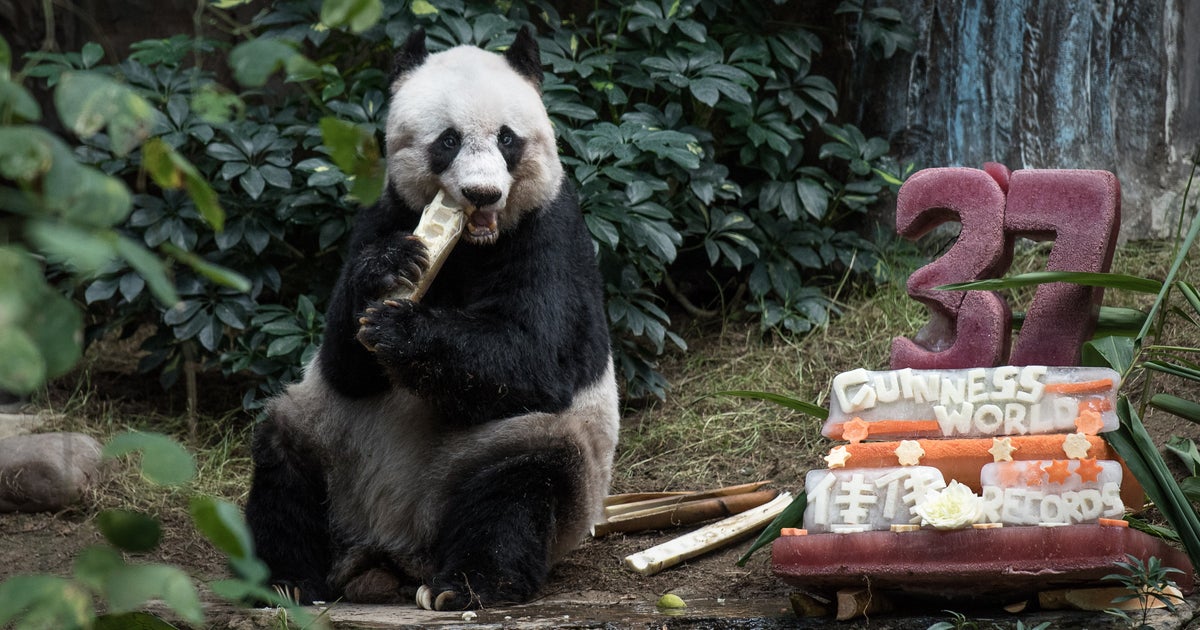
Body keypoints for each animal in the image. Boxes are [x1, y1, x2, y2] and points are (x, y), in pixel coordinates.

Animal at [244, 26, 620, 611]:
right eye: (447, 140)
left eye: (507, 139)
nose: (483, 193)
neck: (473, 244)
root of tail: (392, 548)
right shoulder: (384, 214)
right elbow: (343, 363)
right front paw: (388, 272)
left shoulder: (552, 233)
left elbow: (536, 355)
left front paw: (401, 331)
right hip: (330, 440)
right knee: (285, 461)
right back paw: (287, 579)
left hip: (513, 453)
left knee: (520, 485)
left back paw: (469, 584)